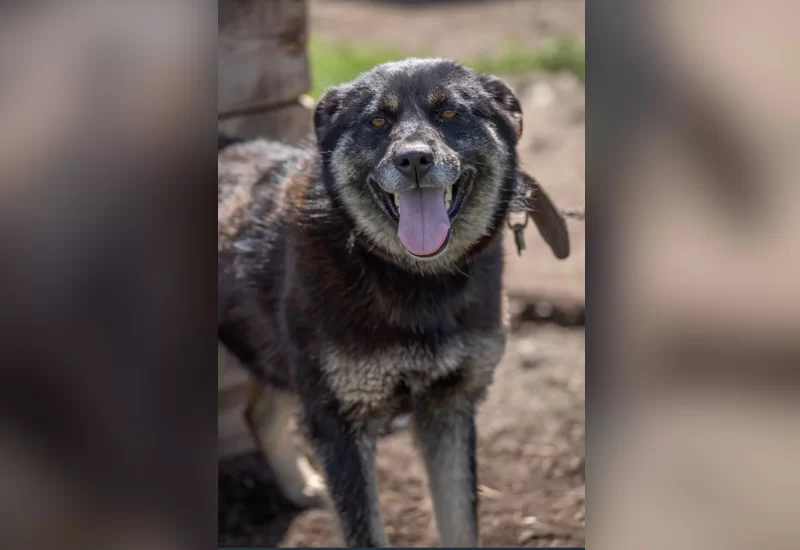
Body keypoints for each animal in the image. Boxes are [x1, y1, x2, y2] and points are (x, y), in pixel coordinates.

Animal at [217, 58, 568, 548]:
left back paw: (301, 486)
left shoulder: (449, 406)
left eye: (450, 114)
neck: (412, 278)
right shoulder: (340, 423)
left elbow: (461, 522)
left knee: (259, 413)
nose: (414, 159)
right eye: (377, 122)